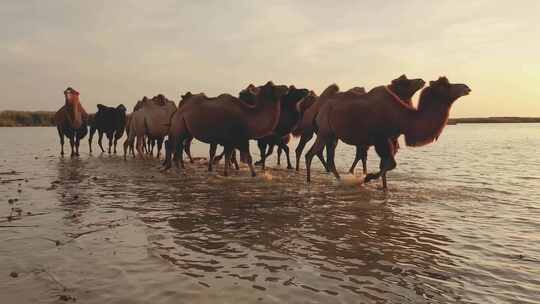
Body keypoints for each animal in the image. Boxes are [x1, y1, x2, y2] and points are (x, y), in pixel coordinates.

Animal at [306, 76, 470, 190]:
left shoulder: (390, 139)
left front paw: (384, 187)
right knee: (311, 154)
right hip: (325, 132)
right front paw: (368, 178)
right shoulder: (381, 138)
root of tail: (321, 108)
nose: (466, 87)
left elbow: (385, 165)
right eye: (446, 85)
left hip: (332, 136)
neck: (403, 118)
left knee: (328, 159)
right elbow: (390, 164)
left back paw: (338, 180)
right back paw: (311, 181)